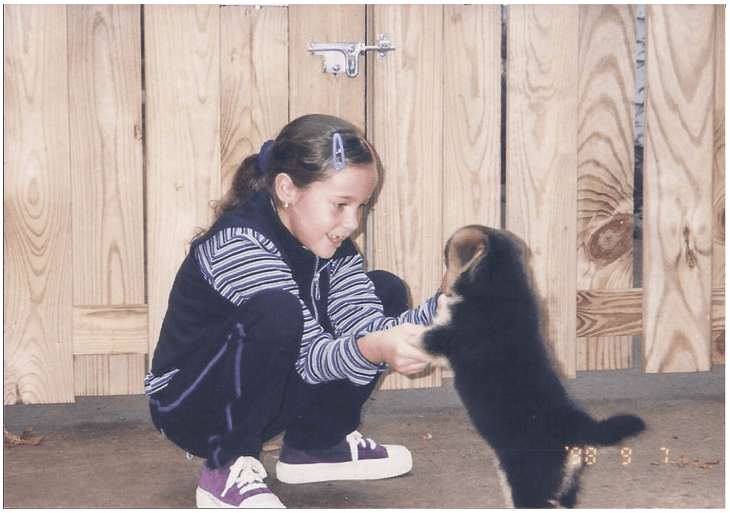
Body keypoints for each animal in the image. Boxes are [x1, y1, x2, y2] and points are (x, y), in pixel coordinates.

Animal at [416, 225, 644, 508]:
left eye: (446, 260)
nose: (440, 289)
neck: (500, 284)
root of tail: (576, 427)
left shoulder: (441, 339)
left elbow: (411, 334)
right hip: (566, 484)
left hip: (527, 480)